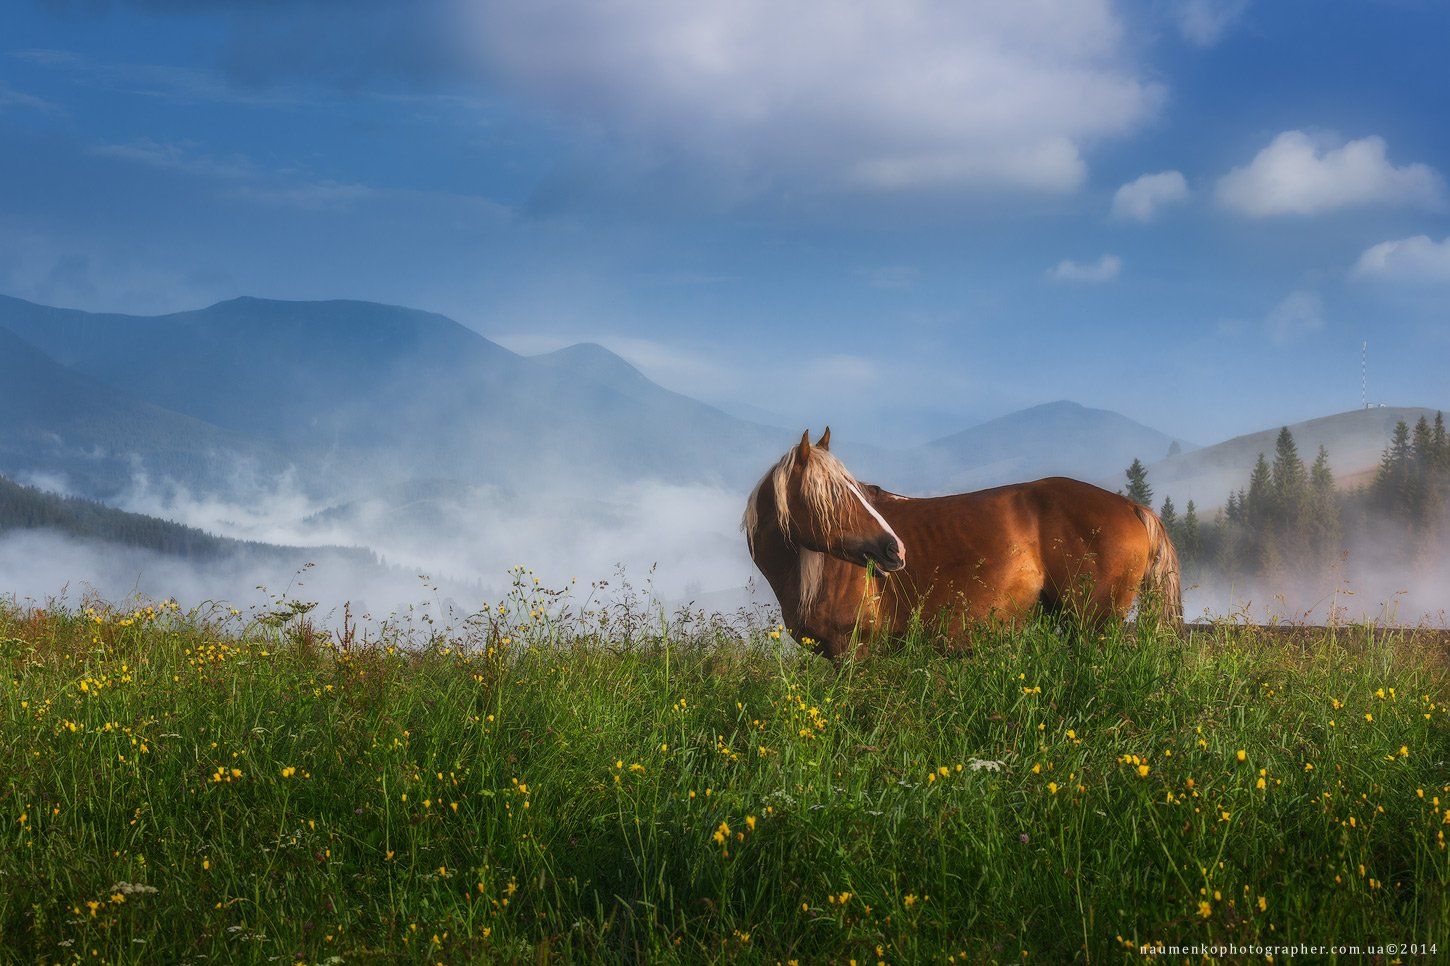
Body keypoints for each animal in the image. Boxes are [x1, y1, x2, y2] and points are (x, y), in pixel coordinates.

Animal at [742, 426, 1183, 658]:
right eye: (835, 495)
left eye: (855, 491)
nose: (894, 549)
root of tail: (1132, 507)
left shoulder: (853, 652)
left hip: (1094, 627)